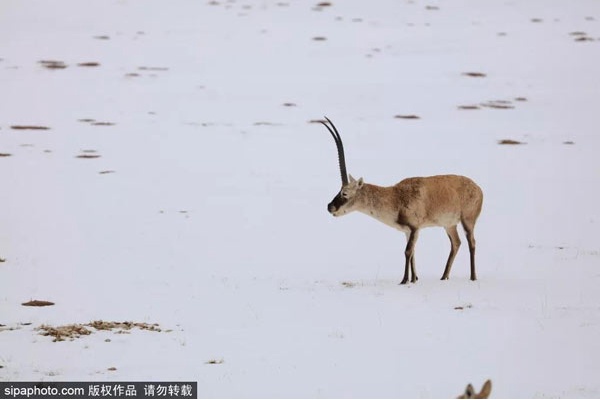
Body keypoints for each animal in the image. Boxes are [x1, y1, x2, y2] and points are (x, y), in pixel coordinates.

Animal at [318, 116, 482, 284]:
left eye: (344, 193)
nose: (330, 206)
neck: (395, 196)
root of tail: (477, 187)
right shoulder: (408, 231)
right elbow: (413, 253)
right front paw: (414, 279)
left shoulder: (415, 228)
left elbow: (407, 251)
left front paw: (404, 280)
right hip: (449, 225)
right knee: (456, 243)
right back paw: (444, 277)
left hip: (467, 221)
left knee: (472, 243)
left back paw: (473, 277)